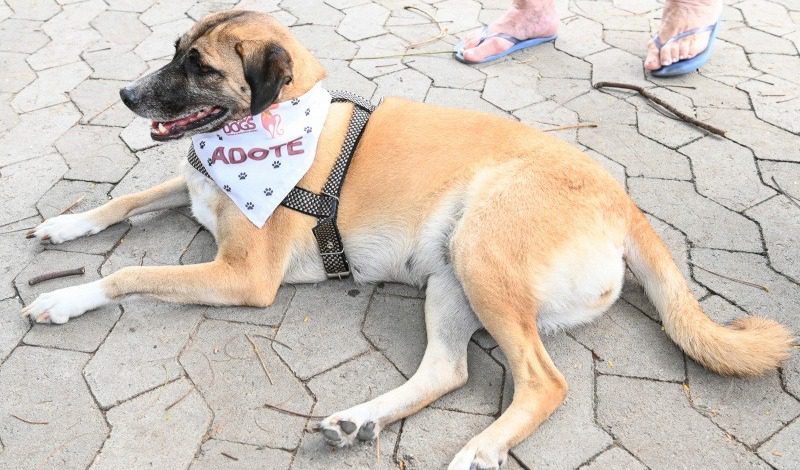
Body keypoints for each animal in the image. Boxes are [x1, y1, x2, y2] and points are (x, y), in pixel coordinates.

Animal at [23, 11, 792, 470]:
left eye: (201, 66)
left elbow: (130, 274)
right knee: (448, 372)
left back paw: (480, 449)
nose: (126, 95)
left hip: (483, 257)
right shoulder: (192, 186)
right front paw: (66, 224)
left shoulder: (243, 274)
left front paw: (66, 298)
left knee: (543, 382)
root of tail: (622, 200)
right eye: (173, 52)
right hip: (452, 279)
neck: (257, 138)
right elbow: (126, 199)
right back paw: (359, 422)